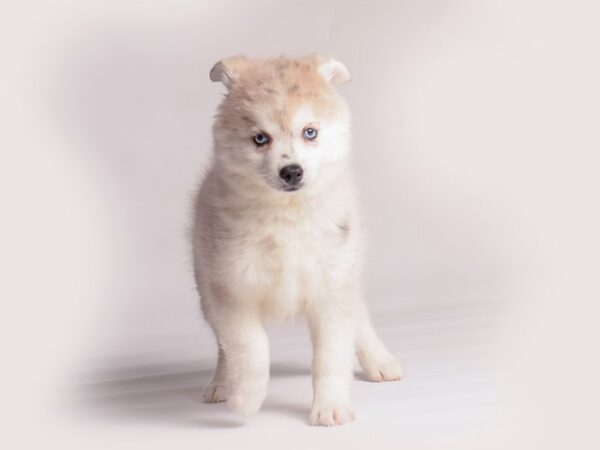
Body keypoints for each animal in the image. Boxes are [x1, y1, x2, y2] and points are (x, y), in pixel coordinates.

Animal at [192, 53, 404, 426]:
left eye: (310, 132)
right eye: (260, 138)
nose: (291, 171)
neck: (287, 215)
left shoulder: (332, 288)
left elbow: (331, 356)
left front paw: (331, 409)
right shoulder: (232, 290)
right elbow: (249, 350)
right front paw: (244, 399)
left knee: (360, 317)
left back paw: (380, 361)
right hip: (206, 291)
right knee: (222, 347)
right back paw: (220, 384)